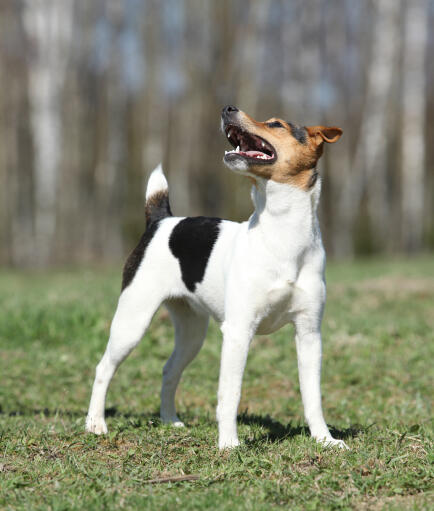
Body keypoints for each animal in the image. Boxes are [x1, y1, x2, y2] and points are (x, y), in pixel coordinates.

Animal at [86, 106, 348, 450]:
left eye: (276, 124)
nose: (228, 108)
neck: (281, 235)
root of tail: (160, 221)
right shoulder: (238, 332)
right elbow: (230, 393)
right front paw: (229, 445)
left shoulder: (308, 333)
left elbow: (312, 395)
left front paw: (324, 440)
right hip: (132, 322)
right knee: (104, 368)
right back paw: (95, 424)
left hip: (192, 332)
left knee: (169, 370)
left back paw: (169, 420)